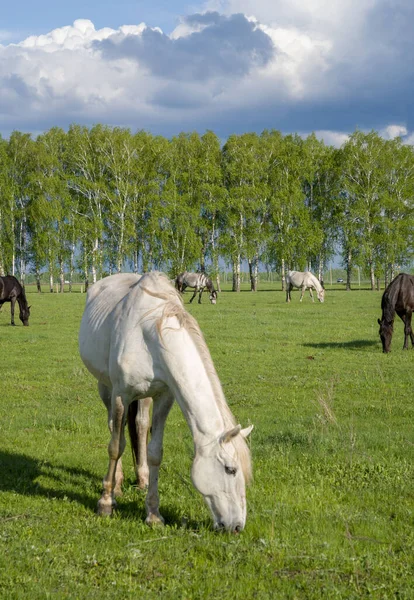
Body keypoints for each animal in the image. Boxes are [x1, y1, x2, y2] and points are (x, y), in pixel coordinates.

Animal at [77, 270, 252, 532]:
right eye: (230, 469)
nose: (238, 526)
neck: (148, 337)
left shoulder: (164, 397)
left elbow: (154, 452)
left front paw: (153, 514)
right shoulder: (121, 395)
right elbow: (115, 447)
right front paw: (106, 503)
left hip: (145, 397)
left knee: (139, 426)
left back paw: (141, 479)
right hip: (105, 387)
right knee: (114, 428)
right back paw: (116, 485)